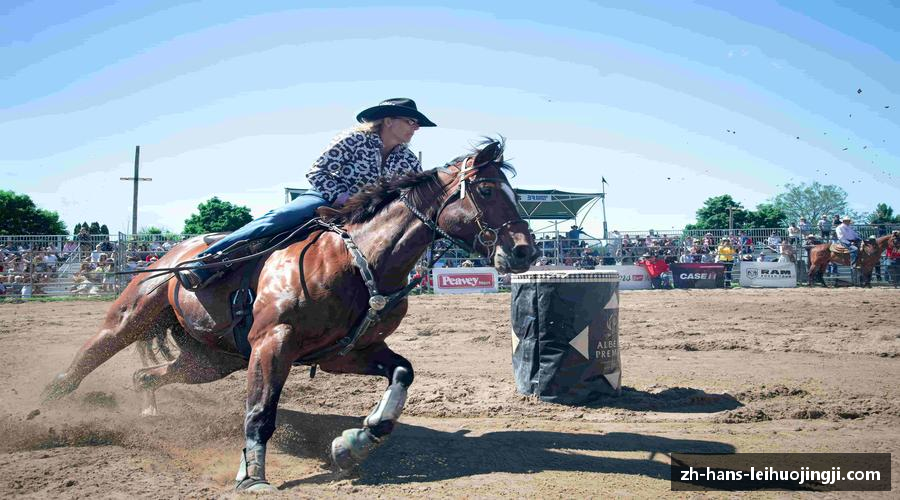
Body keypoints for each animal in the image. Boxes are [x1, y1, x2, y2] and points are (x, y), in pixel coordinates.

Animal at [44, 140, 536, 492]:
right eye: (486, 190)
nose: (523, 251)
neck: (358, 261)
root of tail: (175, 254)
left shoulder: (348, 352)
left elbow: (402, 374)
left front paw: (353, 444)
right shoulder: (273, 342)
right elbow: (260, 411)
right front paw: (252, 477)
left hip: (210, 361)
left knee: (146, 375)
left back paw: (149, 418)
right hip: (132, 316)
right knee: (86, 360)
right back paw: (44, 409)